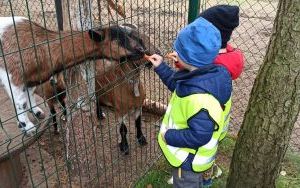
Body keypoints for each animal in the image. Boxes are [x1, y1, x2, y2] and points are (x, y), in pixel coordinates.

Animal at [0, 15, 146, 134]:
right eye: (119, 41)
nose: (142, 50)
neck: (41, 47)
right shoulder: (13, 77)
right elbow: (21, 102)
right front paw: (26, 126)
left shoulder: (34, 78)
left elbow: (28, 95)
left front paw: (35, 113)